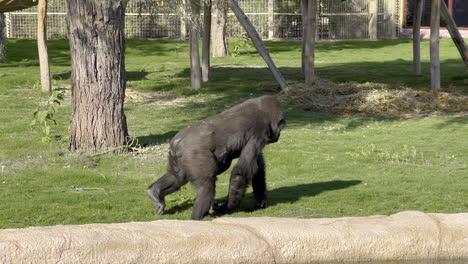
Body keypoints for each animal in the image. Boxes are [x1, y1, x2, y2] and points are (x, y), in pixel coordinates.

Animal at [146, 96, 286, 220]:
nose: (278, 135)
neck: (264, 114)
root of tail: (177, 142)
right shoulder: (259, 133)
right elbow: (241, 171)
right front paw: (227, 206)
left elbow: (257, 169)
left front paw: (261, 200)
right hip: (193, 153)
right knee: (206, 186)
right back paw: (200, 216)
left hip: (176, 157)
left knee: (177, 177)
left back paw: (155, 193)